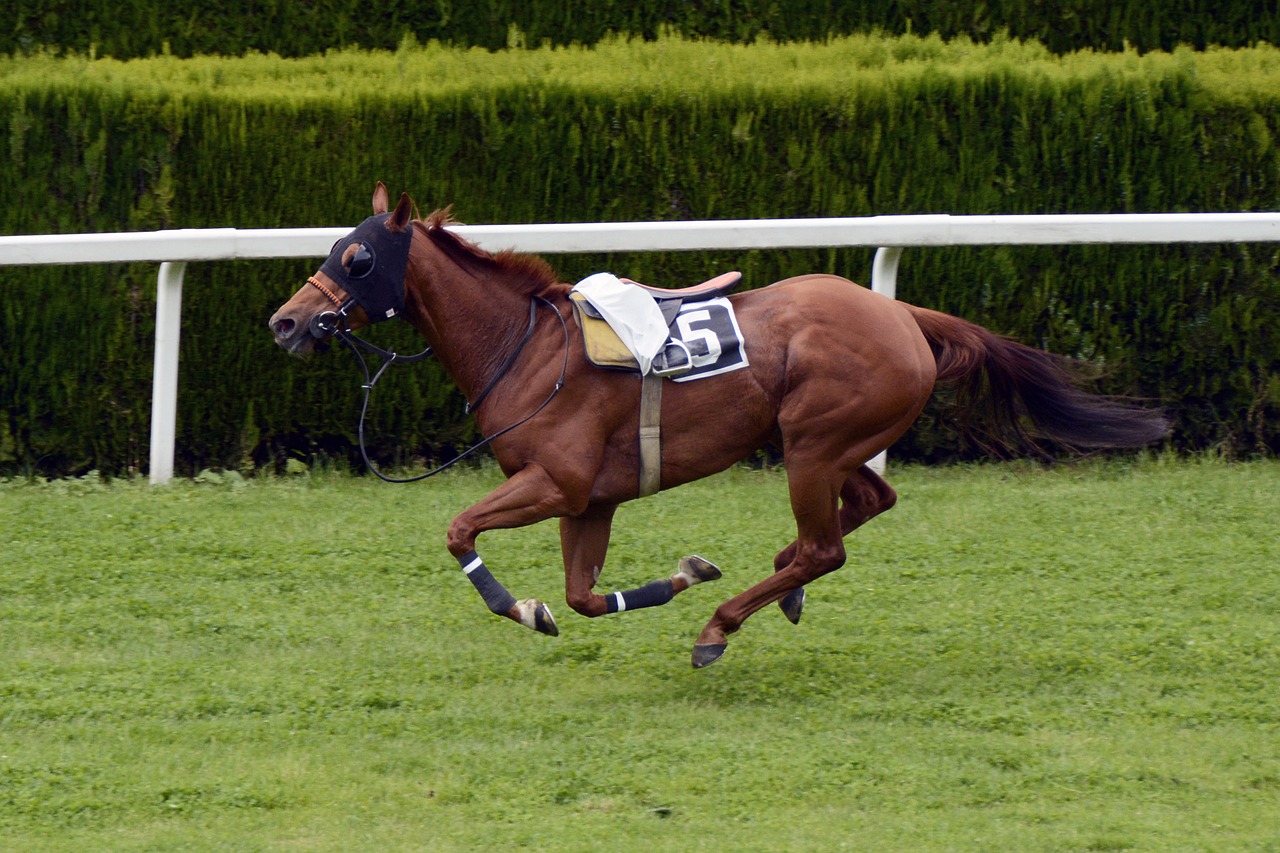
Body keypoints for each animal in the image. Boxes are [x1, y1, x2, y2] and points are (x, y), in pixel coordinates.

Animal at [270, 184, 1172, 666]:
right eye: (334, 245)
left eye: (357, 257)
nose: (286, 322)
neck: (528, 348)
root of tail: (902, 313)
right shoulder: (590, 498)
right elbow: (584, 595)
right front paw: (678, 574)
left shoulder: (554, 479)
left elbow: (462, 531)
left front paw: (523, 606)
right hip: (825, 442)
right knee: (865, 508)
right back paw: (777, 588)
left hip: (813, 442)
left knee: (826, 545)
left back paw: (723, 625)